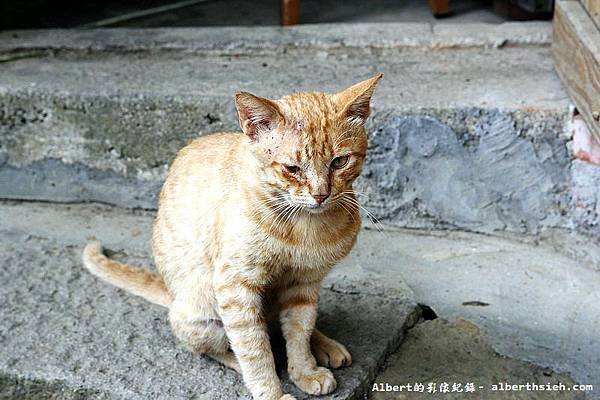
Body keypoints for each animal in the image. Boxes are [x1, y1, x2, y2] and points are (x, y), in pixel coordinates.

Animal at [82, 73, 382, 398]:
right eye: (292, 168)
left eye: (339, 162)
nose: (321, 194)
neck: (302, 226)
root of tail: (171, 295)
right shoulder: (235, 288)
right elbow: (254, 348)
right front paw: (272, 391)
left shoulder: (304, 284)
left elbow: (299, 330)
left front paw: (305, 370)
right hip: (205, 317)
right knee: (215, 348)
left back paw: (324, 344)